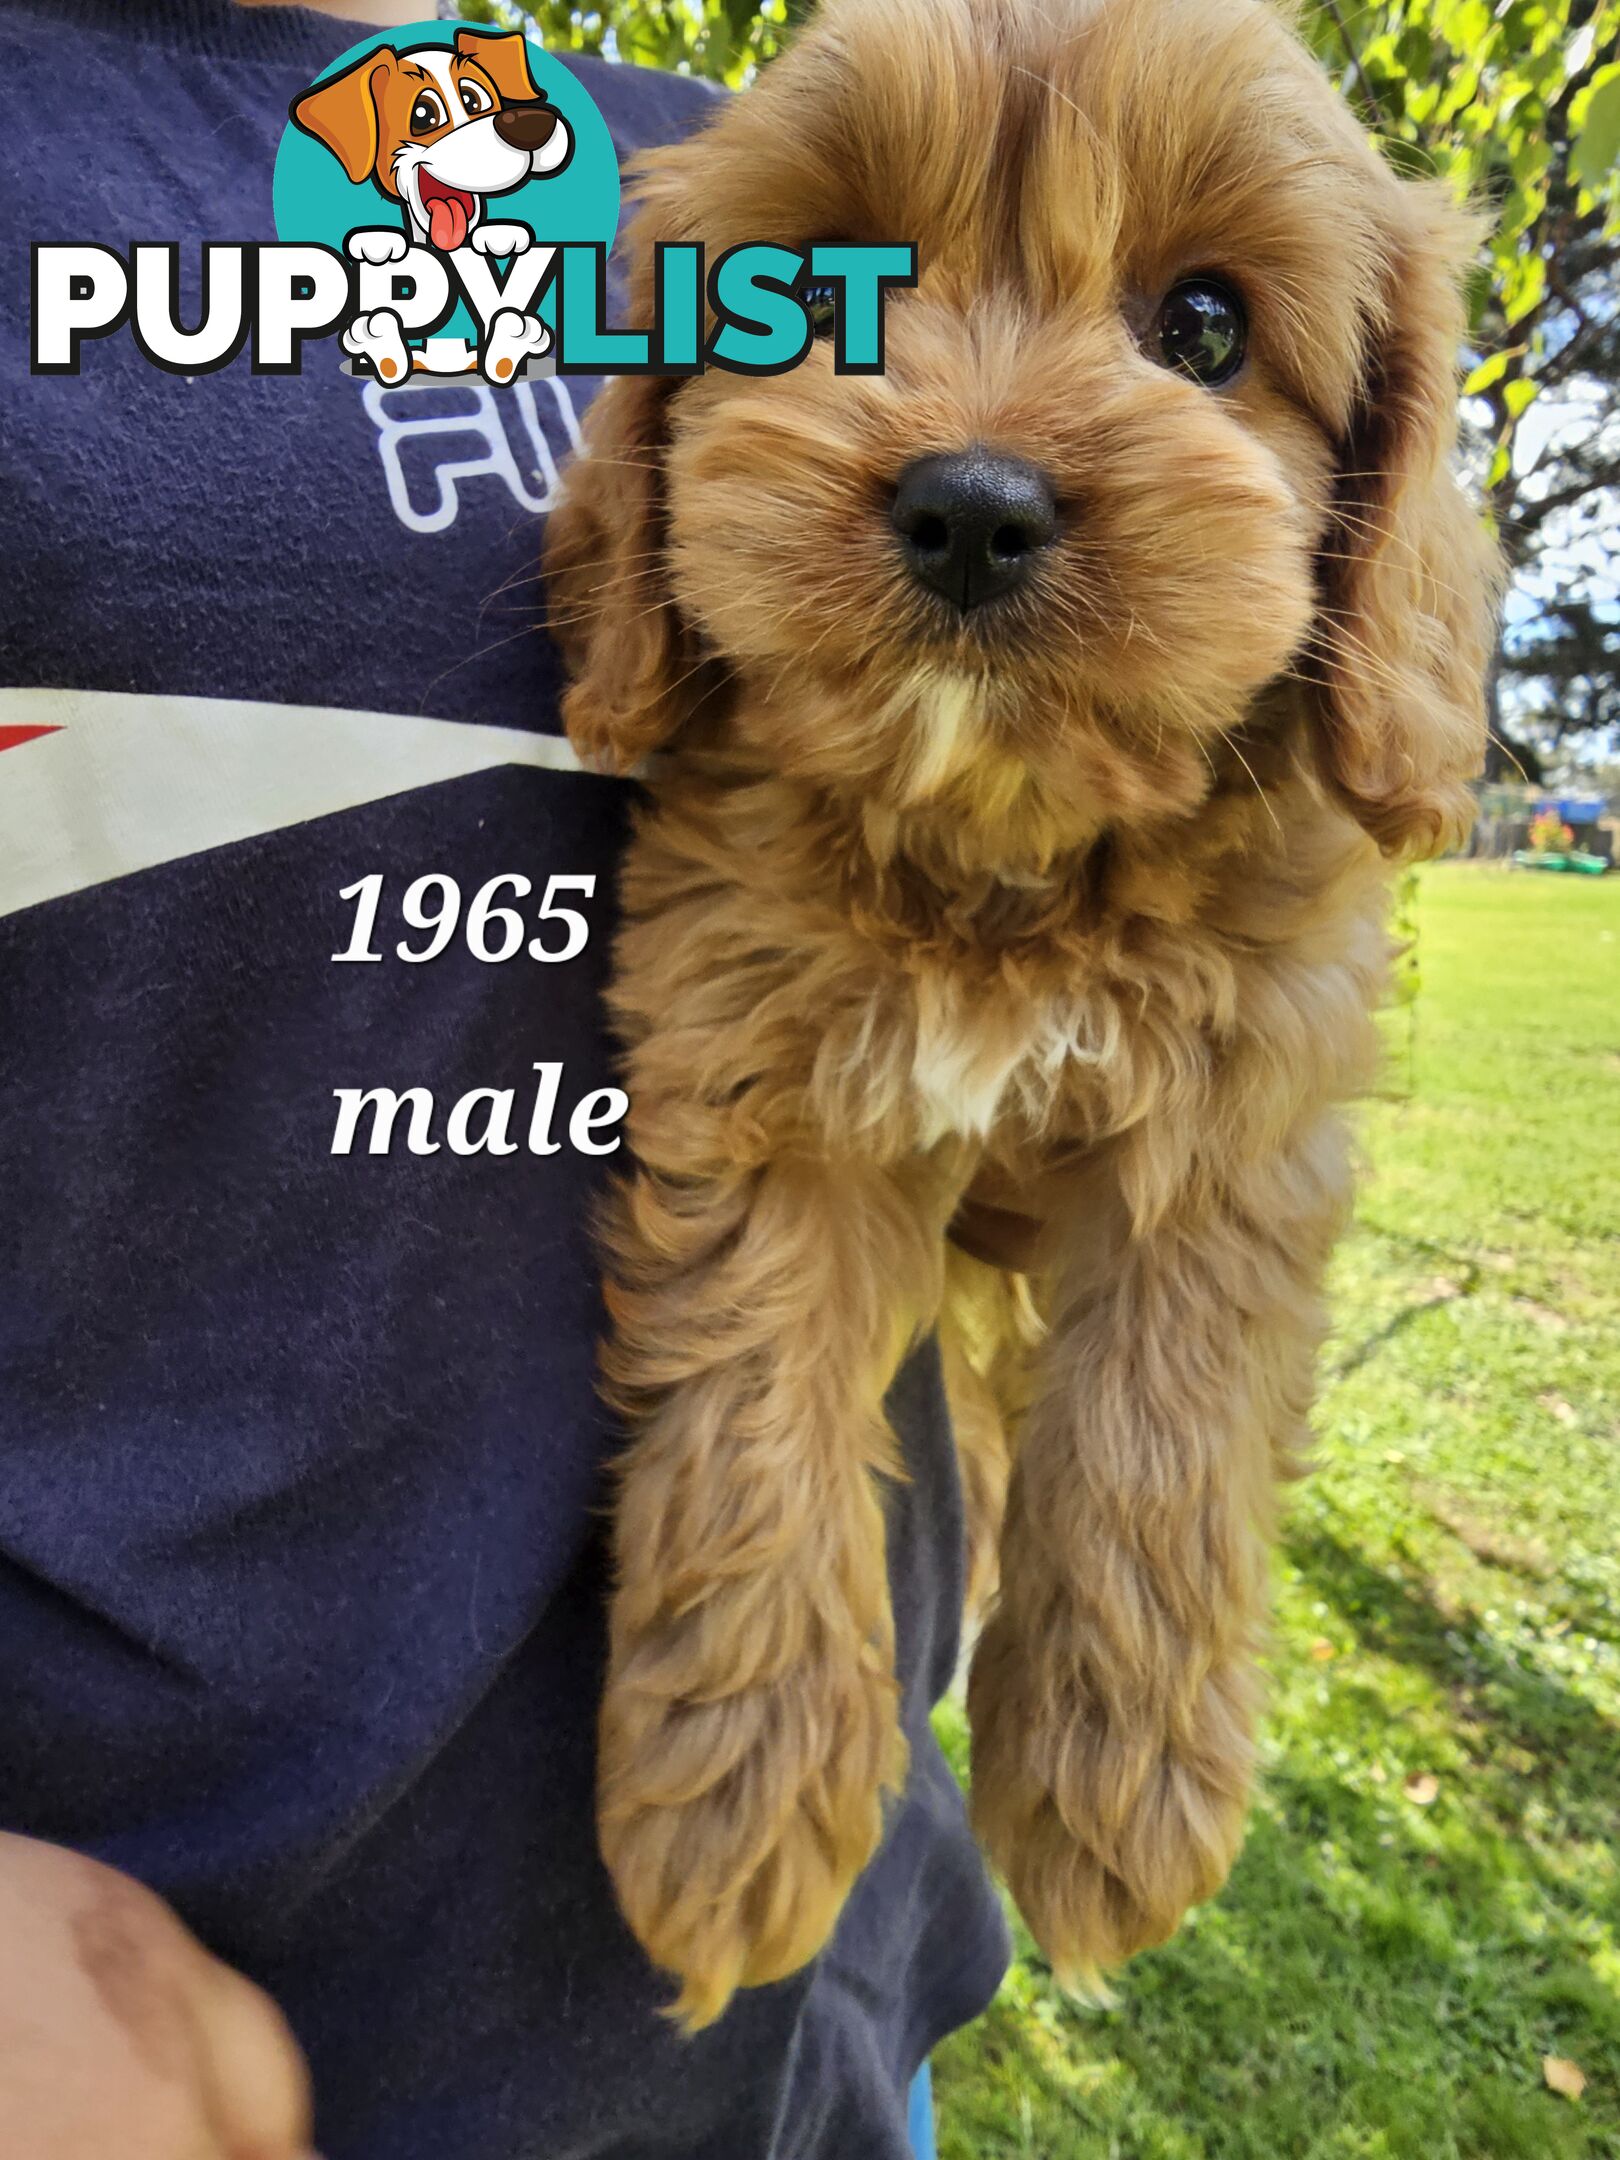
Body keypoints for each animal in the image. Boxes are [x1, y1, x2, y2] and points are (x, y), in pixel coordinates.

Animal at [542, 0, 1494, 2030]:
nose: (972, 506)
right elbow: (755, 1405)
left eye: (1205, 327)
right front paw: (736, 1796)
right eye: (802, 298)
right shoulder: (752, 1053)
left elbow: (1161, 1427)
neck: (1005, 859)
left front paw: (1116, 1789)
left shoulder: (1244, 1110)